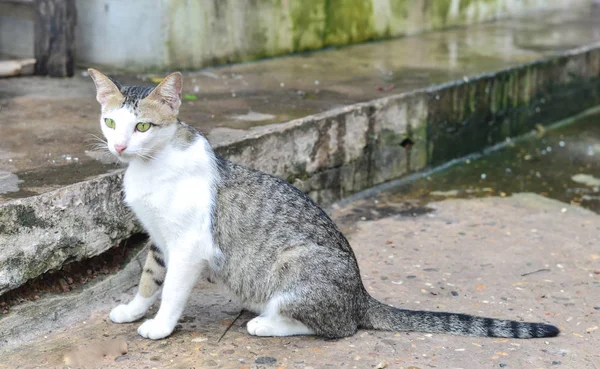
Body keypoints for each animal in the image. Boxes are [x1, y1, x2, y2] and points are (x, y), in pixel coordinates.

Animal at [86, 68, 560, 340]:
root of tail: (361, 296)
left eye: (143, 126)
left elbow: (172, 291)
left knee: (337, 327)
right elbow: (150, 279)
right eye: (109, 121)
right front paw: (133, 309)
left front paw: (160, 326)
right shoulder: (160, 239)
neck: (149, 167)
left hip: (295, 264)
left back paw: (266, 323)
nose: (119, 145)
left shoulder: (189, 244)